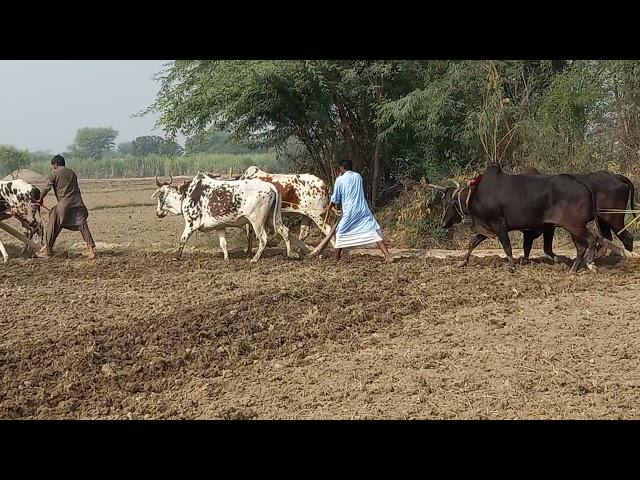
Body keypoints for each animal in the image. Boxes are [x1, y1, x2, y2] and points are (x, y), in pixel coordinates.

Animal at [430, 164, 616, 270]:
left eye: (446, 202)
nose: (443, 223)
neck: (476, 194)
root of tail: (584, 185)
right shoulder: (487, 228)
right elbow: (472, 243)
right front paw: (463, 262)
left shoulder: (499, 225)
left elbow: (507, 246)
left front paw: (512, 266)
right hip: (572, 227)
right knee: (582, 246)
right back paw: (574, 268)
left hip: (574, 225)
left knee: (592, 239)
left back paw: (590, 262)